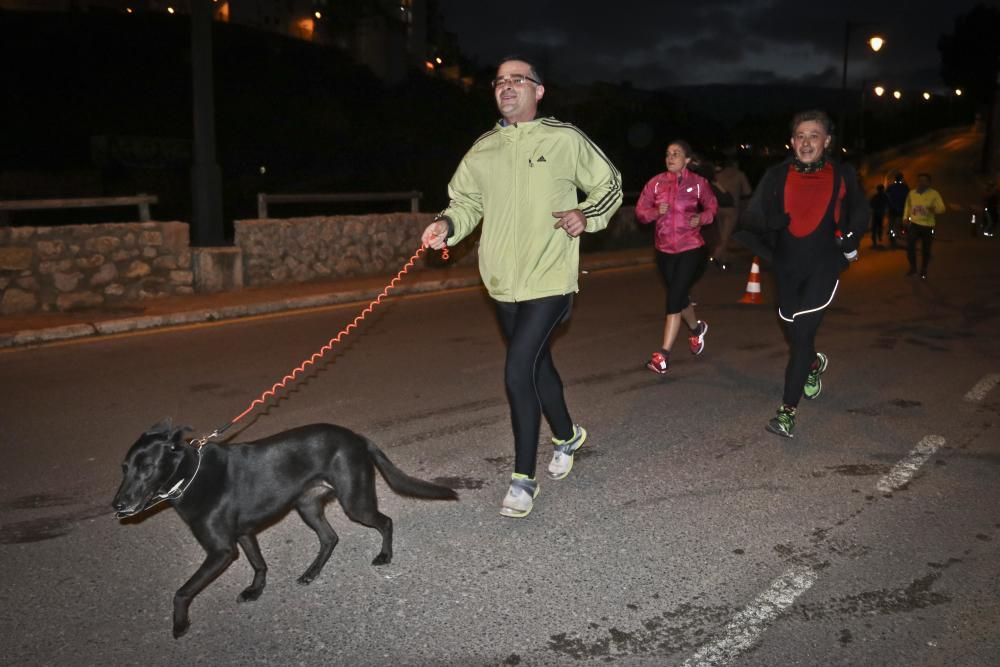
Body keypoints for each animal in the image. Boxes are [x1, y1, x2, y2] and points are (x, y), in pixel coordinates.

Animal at [114, 420, 460, 640]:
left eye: (147, 468)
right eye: (125, 468)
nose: (117, 505)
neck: (190, 474)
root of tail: (357, 437)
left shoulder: (221, 551)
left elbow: (182, 591)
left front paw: (179, 624)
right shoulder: (243, 534)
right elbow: (258, 563)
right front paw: (256, 590)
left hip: (355, 502)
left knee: (384, 522)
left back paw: (385, 555)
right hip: (307, 505)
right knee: (330, 538)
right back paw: (311, 573)